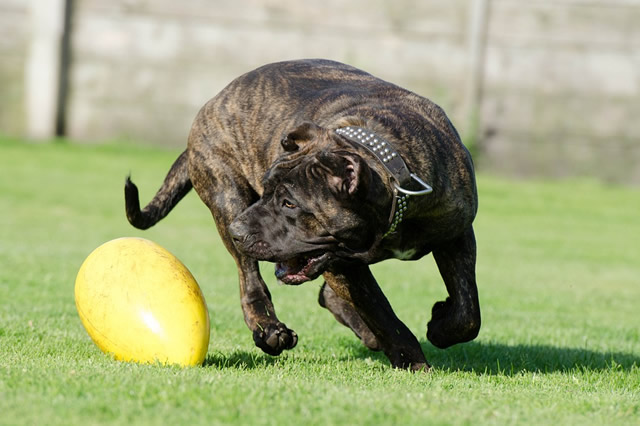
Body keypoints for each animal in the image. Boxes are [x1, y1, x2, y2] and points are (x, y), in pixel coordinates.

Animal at [124, 58, 480, 372]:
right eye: (267, 188)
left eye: (289, 204)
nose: (239, 230)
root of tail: (214, 102)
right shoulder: (340, 264)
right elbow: (382, 312)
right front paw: (411, 359)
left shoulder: (457, 234)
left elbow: (468, 311)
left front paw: (441, 326)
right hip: (226, 194)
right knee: (250, 281)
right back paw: (269, 329)